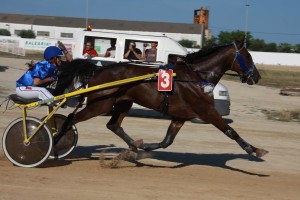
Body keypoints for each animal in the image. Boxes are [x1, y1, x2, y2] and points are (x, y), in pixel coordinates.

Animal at [60, 39, 268, 158]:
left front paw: (145, 146)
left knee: (113, 125)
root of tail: (98, 69)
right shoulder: (207, 111)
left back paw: (134, 146)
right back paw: (58, 143)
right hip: (100, 105)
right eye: (248, 57)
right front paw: (255, 150)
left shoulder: (180, 117)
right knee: (71, 119)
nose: (256, 76)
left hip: (123, 102)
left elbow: (167, 141)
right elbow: (230, 131)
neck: (196, 77)